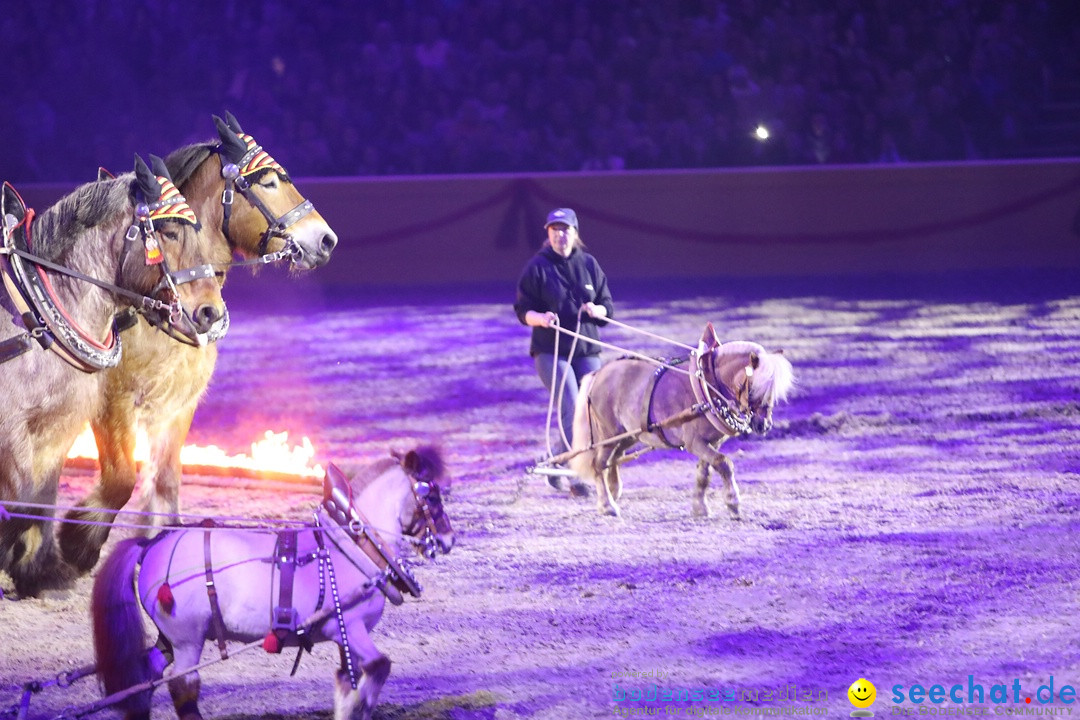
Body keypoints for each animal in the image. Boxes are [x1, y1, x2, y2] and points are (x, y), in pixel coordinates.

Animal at [59, 112, 336, 574]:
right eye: (266, 181)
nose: (325, 239)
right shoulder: (114, 402)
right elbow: (120, 479)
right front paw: (76, 542)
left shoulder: (178, 404)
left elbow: (166, 479)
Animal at [87, 444, 451, 720]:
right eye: (432, 496)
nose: (449, 539)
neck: (351, 545)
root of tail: (152, 544)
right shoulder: (349, 625)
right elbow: (378, 667)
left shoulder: (342, 636)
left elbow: (348, 681)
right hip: (187, 638)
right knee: (183, 686)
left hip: (169, 638)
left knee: (148, 675)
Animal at [565, 325, 794, 518]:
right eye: (754, 388)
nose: (763, 425)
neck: (708, 386)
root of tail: (599, 373)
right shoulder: (695, 442)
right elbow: (724, 464)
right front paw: (733, 503)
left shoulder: (712, 442)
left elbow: (704, 473)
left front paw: (700, 508)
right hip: (608, 434)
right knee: (599, 465)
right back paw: (607, 505)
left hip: (629, 435)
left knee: (614, 459)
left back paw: (613, 491)